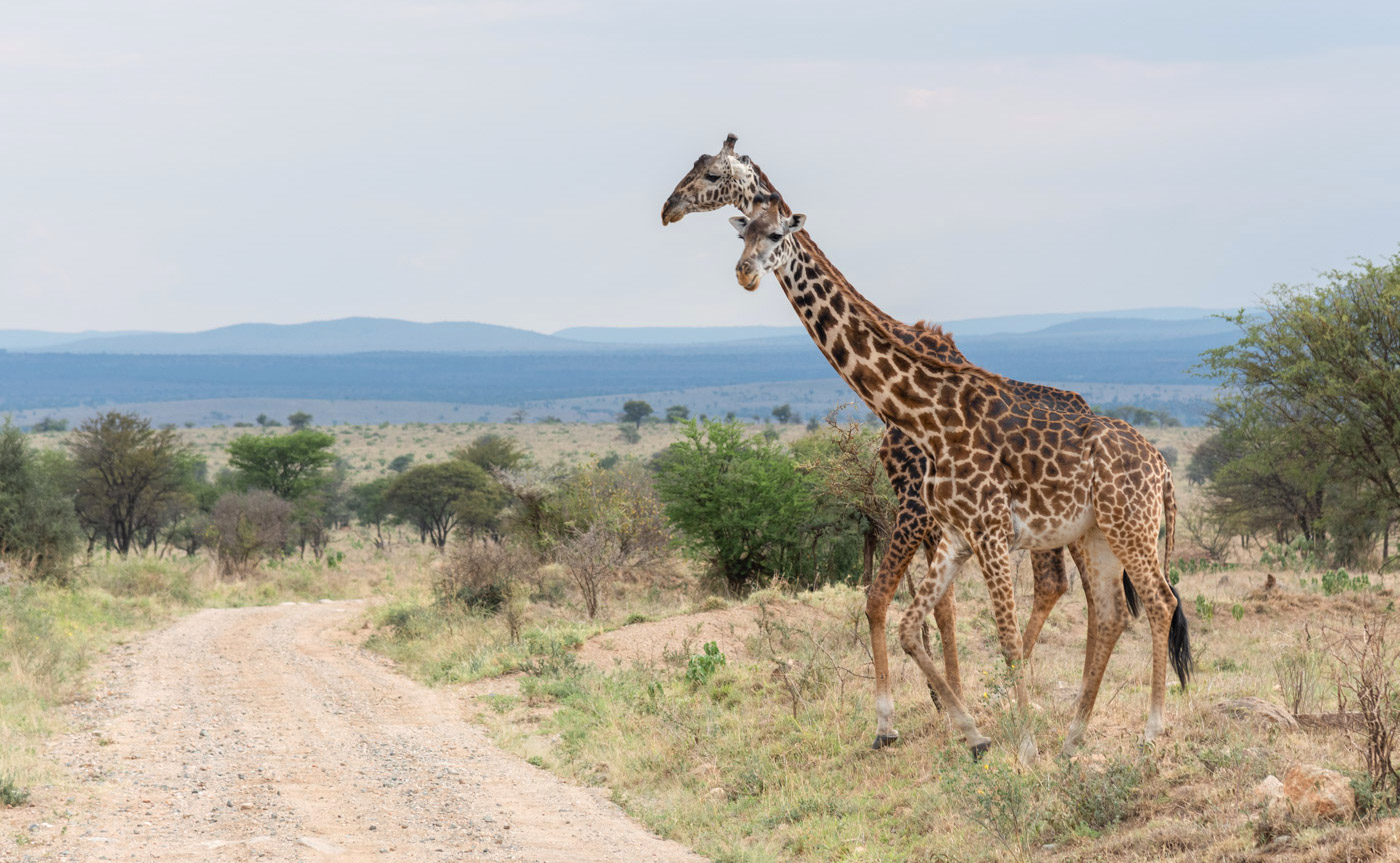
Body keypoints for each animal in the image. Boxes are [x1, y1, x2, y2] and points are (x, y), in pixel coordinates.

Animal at [655, 133, 1136, 750]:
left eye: (713, 174)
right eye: (741, 230)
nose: (668, 208)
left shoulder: (914, 503)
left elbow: (884, 599)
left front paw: (897, 721)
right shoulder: (930, 512)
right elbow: (934, 607)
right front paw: (947, 709)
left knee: (1076, 593)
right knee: (1079, 595)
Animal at [728, 193, 1187, 756]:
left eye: (775, 235)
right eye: (741, 233)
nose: (745, 272)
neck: (928, 414)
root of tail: (1162, 465)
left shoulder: (987, 529)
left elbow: (1005, 640)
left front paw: (1023, 747)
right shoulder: (953, 534)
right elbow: (909, 625)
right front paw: (975, 734)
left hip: (1131, 527)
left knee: (1161, 601)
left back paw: (1150, 731)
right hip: (1098, 533)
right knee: (1111, 612)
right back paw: (1072, 739)